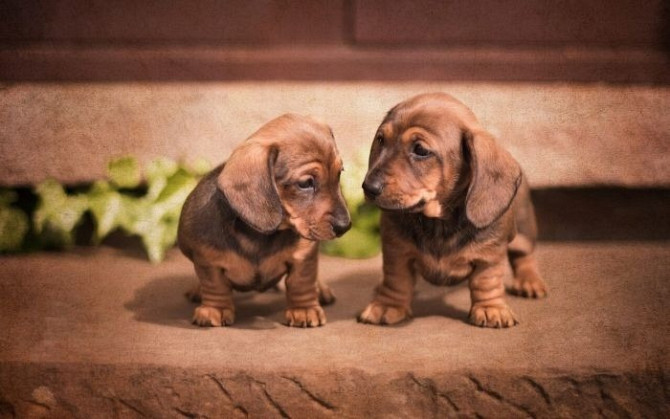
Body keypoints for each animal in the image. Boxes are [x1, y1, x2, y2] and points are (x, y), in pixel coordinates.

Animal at [181, 114, 354, 328]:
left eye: (339, 173)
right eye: (306, 183)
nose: (345, 226)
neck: (259, 236)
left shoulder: (303, 255)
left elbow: (301, 282)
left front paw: (304, 309)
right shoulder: (208, 259)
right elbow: (214, 285)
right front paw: (216, 309)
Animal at [360, 93, 548, 330]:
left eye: (420, 150)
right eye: (381, 140)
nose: (368, 187)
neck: (438, 221)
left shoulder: (489, 256)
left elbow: (486, 282)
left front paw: (490, 308)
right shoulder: (397, 251)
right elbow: (397, 280)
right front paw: (388, 305)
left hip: (523, 230)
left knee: (524, 255)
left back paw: (529, 280)